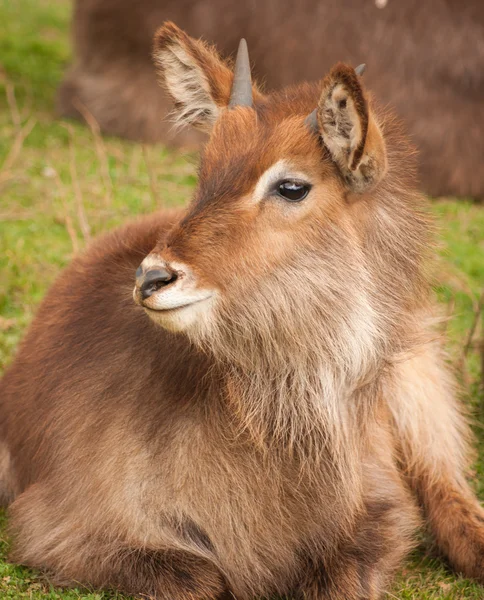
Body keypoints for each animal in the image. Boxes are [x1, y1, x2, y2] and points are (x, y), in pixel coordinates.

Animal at [0, 22, 484, 600]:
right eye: (204, 172)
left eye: (292, 185)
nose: (152, 277)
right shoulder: (60, 523)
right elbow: (203, 576)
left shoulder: (381, 510)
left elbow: (354, 568)